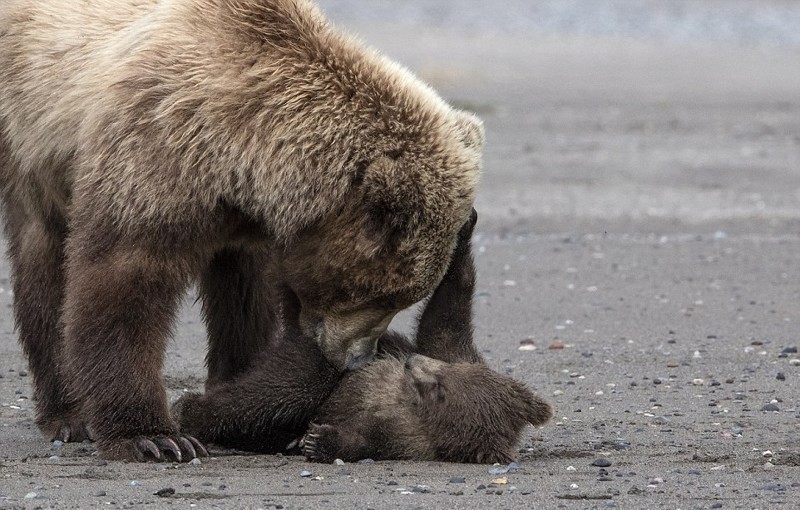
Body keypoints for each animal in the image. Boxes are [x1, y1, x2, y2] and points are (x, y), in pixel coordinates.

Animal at [0, 0, 482, 462]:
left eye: (403, 298)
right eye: (382, 295)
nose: (356, 360)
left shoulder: (246, 224)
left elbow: (246, 300)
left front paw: (241, 400)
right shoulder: (154, 151)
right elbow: (123, 284)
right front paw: (153, 437)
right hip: (31, 141)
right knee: (44, 265)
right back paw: (69, 414)